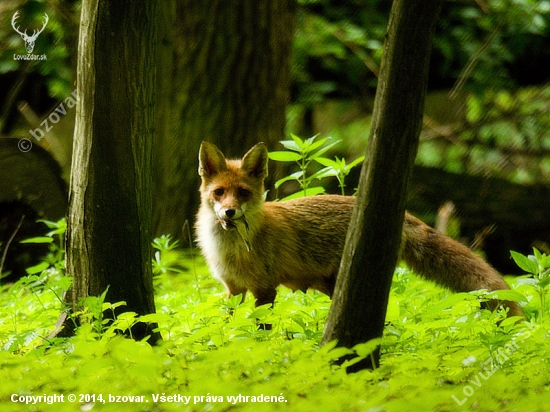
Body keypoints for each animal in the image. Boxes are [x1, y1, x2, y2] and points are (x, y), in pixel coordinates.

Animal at [195, 142, 528, 318]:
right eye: (219, 192)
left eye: (243, 193)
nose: (229, 212)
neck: (232, 250)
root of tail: (402, 214)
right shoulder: (233, 289)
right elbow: (230, 323)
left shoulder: (265, 288)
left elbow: (260, 327)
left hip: (344, 284)